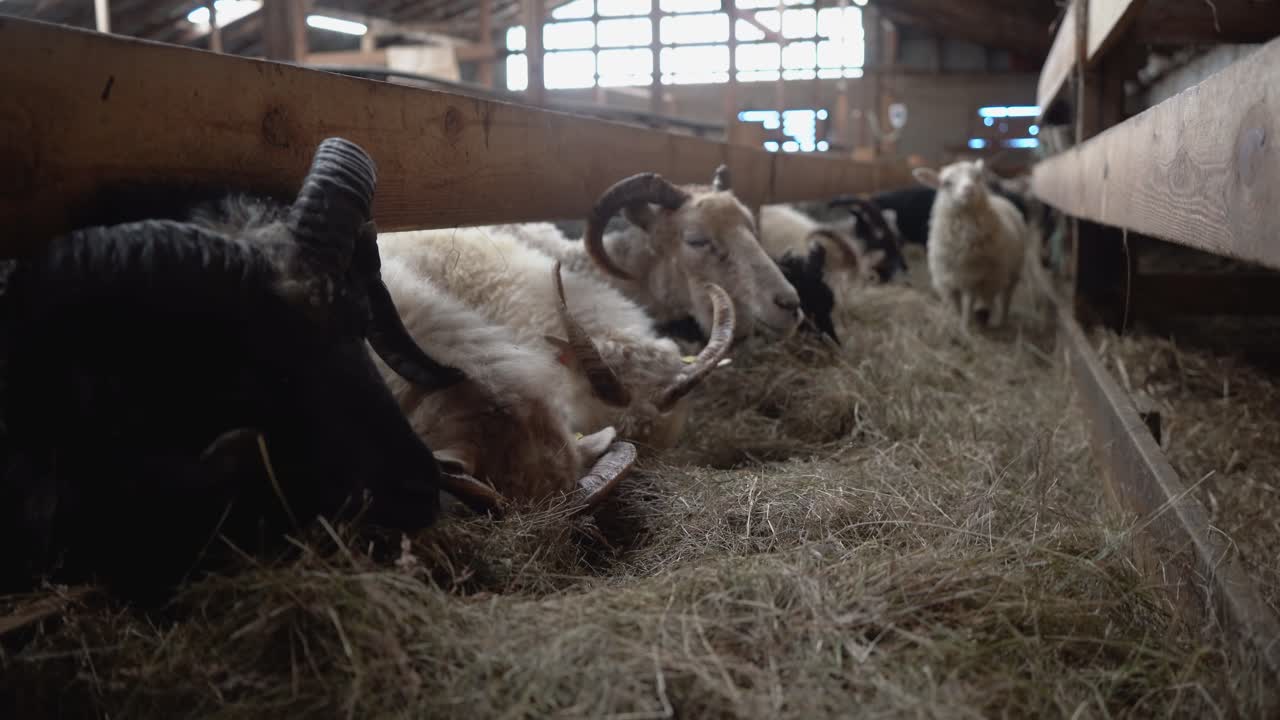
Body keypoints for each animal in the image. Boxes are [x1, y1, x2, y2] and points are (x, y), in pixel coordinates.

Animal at [912, 158, 1028, 330]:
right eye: (946, 183)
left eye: (977, 176)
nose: (969, 189)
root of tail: (998, 197)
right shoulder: (948, 282)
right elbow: (956, 309)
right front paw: (957, 324)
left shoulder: (971, 280)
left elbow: (967, 309)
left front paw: (966, 328)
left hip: (1008, 272)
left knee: (1003, 297)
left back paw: (999, 320)